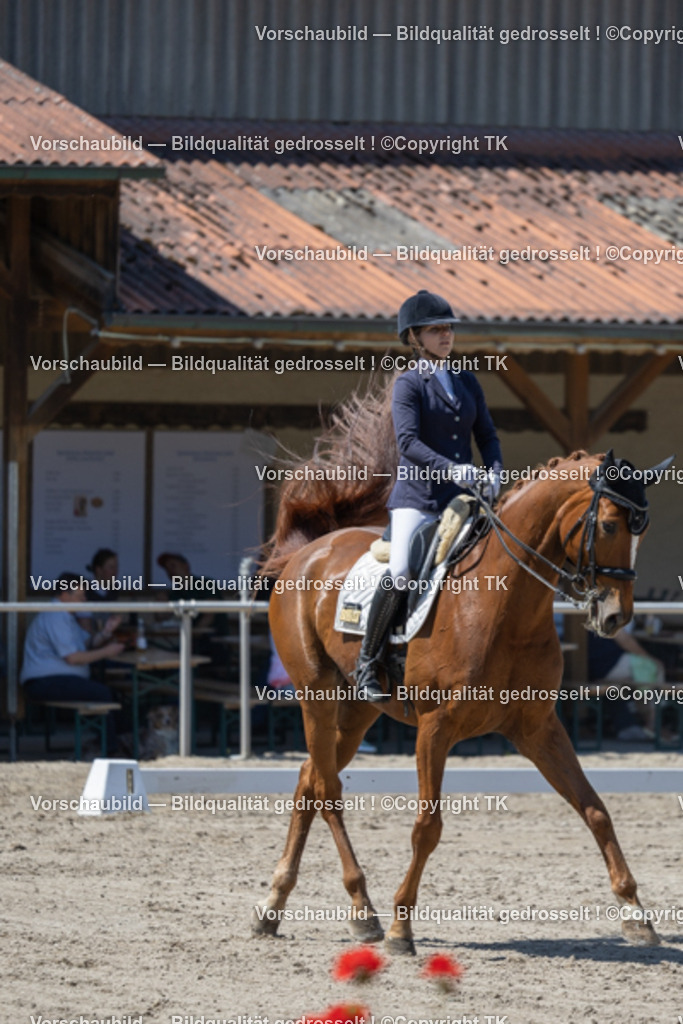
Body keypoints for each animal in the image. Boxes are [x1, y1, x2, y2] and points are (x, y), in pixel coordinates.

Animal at [252, 392, 663, 953]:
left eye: (642, 532)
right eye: (608, 526)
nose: (614, 617)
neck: (506, 605)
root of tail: (309, 552)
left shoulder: (538, 728)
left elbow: (595, 809)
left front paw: (637, 914)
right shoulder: (435, 728)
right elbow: (427, 826)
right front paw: (402, 928)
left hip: (358, 710)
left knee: (309, 780)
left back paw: (277, 906)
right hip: (316, 692)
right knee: (329, 789)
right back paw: (364, 911)